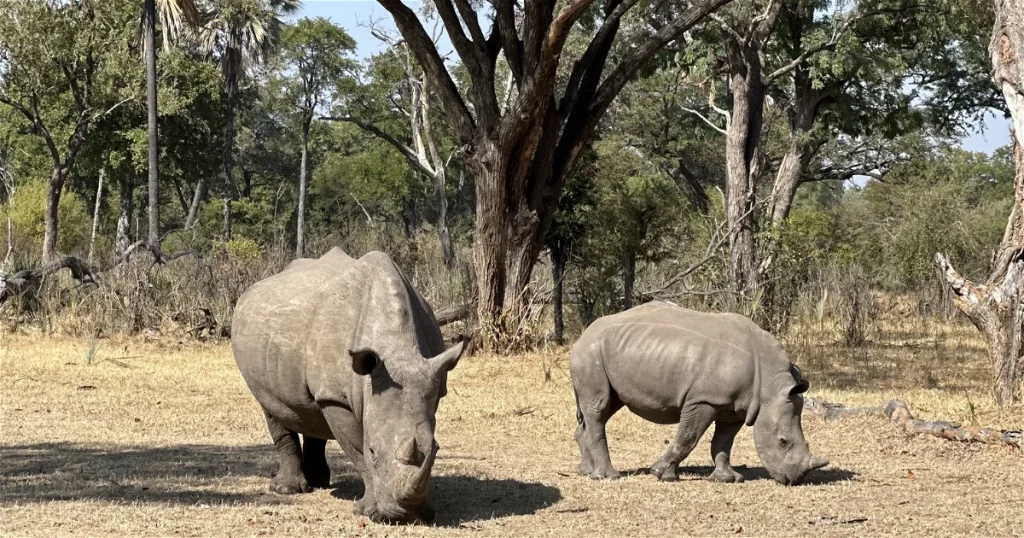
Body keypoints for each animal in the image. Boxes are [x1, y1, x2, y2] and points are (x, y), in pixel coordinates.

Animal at [231, 248, 466, 524]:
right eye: (373, 451)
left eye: (437, 450)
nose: (404, 516)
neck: (398, 350)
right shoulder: (337, 397)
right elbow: (358, 450)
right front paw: (367, 511)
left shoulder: (432, 381)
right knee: (273, 406)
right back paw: (288, 489)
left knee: (311, 410)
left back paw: (320, 482)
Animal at [570, 301, 828, 486]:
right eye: (783, 442)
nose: (794, 480)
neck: (770, 386)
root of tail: (583, 335)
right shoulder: (704, 400)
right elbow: (688, 437)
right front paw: (662, 474)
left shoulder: (736, 406)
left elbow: (723, 442)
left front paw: (727, 479)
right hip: (590, 353)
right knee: (599, 408)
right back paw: (608, 476)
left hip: (611, 352)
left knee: (605, 407)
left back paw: (585, 472)